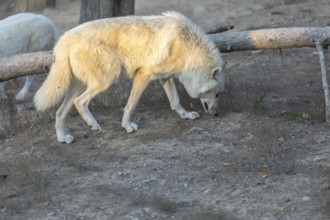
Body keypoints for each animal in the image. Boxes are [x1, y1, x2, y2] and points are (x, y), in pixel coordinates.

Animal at [34, 11, 224, 144]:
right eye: (217, 94)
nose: (216, 114)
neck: (188, 49)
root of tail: (64, 40)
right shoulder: (144, 75)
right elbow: (131, 105)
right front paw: (127, 126)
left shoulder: (165, 77)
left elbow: (175, 102)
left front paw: (186, 116)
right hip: (107, 78)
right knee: (79, 102)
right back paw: (94, 125)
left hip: (78, 86)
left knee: (60, 112)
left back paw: (63, 138)